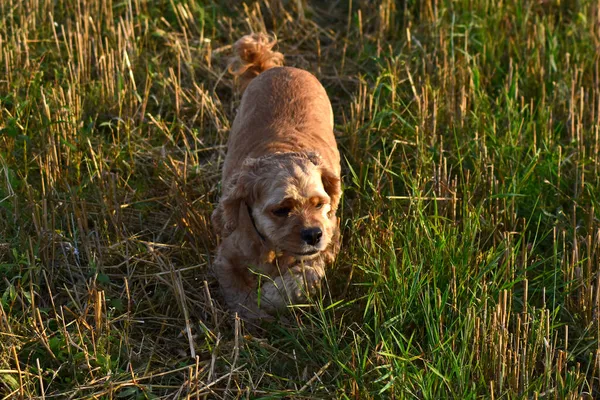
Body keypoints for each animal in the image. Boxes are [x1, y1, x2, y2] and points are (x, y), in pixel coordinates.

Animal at [211, 33, 342, 318]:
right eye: (281, 210)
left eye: (320, 204)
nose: (313, 234)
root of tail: (274, 68)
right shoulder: (226, 255)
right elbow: (240, 295)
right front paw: (255, 311)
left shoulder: (328, 239)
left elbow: (301, 277)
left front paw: (271, 295)